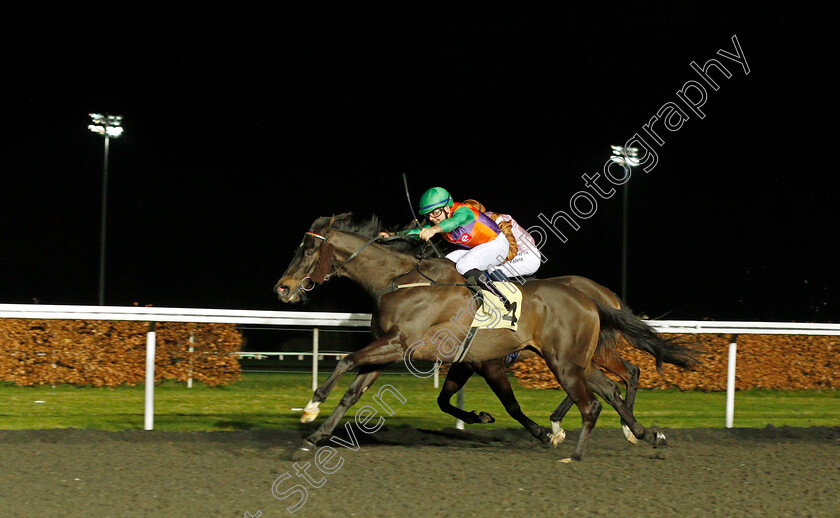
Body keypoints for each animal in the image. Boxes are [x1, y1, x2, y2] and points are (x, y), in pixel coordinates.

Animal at [274, 215, 696, 464]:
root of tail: (596, 298)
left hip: (571, 358)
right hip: (577, 358)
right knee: (613, 385)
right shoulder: (401, 351)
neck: (400, 281)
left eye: (308, 249)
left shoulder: (408, 346)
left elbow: (346, 360)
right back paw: (645, 432)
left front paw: (311, 407)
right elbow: (355, 392)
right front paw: (316, 436)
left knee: (615, 382)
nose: (283, 288)